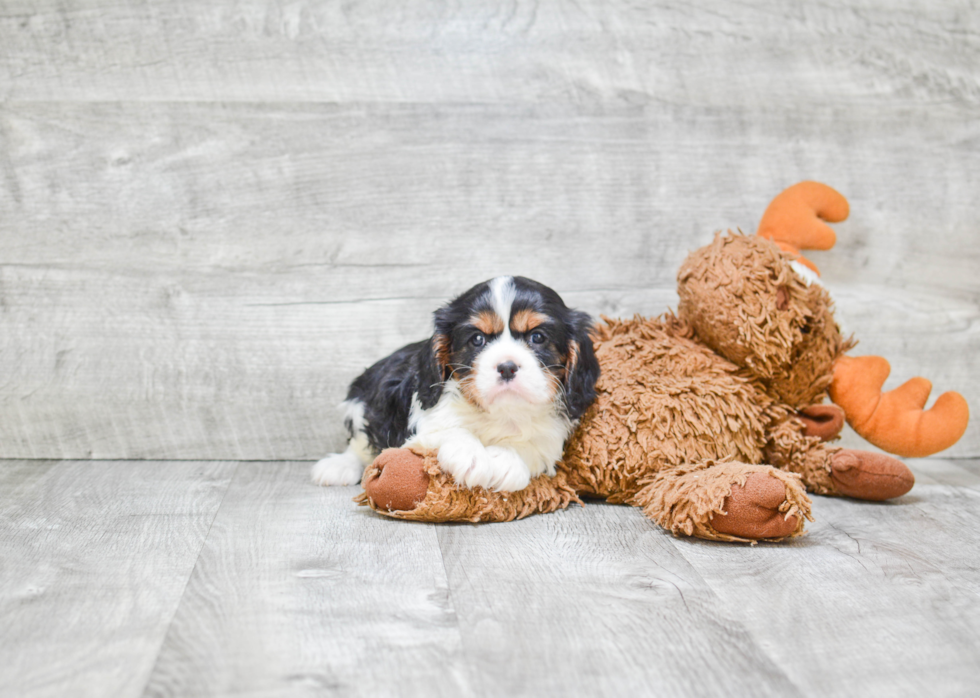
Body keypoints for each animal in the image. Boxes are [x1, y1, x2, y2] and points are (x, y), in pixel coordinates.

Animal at [312, 276, 596, 490]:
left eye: (537, 337)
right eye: (478, 339)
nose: (506, 366)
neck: (502, 413)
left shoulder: (552, 434)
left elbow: (535, 446)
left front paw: (506, 460)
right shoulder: (423, 419)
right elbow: (449, 428)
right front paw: (471, 456)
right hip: (364, 405)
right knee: (359, 445)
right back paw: (339, 467)